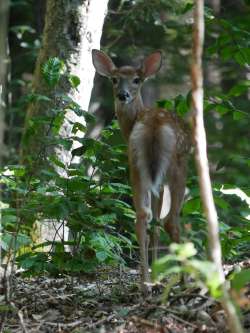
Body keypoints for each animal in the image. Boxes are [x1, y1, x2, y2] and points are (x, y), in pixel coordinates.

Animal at [92, 48, 191, 294]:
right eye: (115, 79)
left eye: (137, 79)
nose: (123, 94)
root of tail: (153, 126)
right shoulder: (162, 179)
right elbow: (158, 222)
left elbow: (152, 224)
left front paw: (154, 277)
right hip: (176, 166)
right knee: (170, 220)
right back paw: (184, 281)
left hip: (136, 165)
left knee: (142, 217)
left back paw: (144, 284)